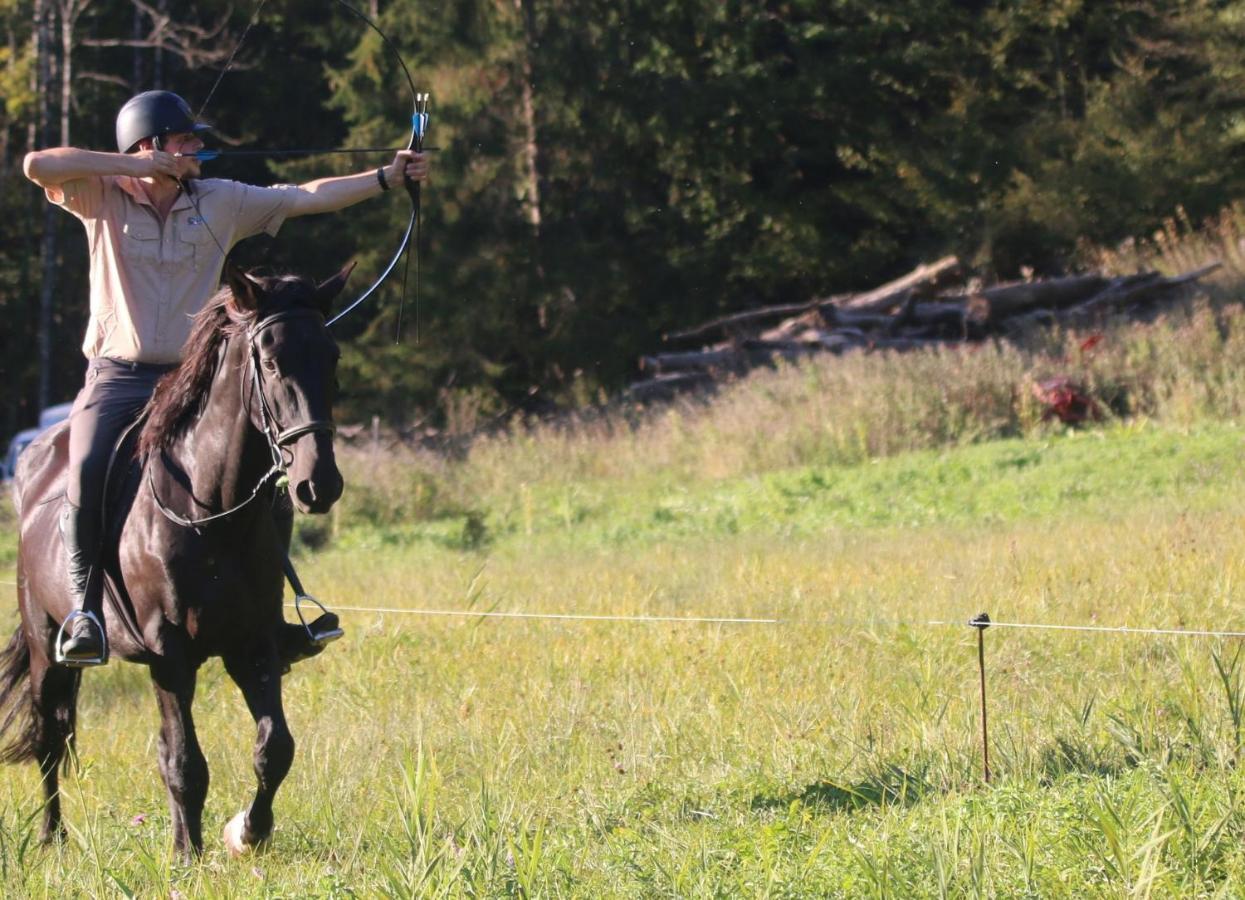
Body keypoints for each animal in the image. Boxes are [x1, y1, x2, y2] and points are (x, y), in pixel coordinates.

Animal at [2, 262, 351, 861]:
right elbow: (185, 762)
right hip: (47, 646)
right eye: (272, 362)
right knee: (50, 737)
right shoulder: (169, 654)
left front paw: (246, 832)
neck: (210, 513)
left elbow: (274, 748)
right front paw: (188, 855)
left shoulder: (252, 645)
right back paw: (52, 838)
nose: (318, 484)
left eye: (331, 358)